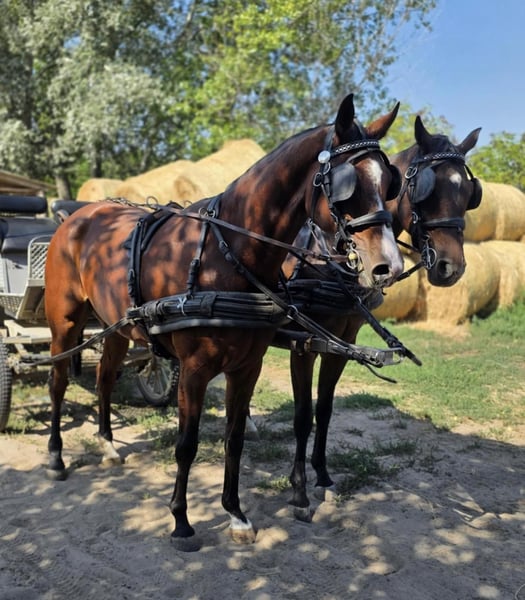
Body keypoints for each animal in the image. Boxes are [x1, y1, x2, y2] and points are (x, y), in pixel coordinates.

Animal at [44, 93, 404, 548]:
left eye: (389, 182)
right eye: (348, 185)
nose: (388, 266)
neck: (229, 253)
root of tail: (75, 217)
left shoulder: (248, 366)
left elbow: (235, 438)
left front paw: (235, 513)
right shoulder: (196, 369)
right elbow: (188, 443)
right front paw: (181, 520)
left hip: (118, 328)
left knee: (105, 377)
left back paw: (107, 445)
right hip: (64, 323)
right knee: (57, 383)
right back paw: (56, 456)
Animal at [285, 115, 481, 519]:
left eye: (469, 192)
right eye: (427, 189)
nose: (451, 268)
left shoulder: (341, 342)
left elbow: (324, 409)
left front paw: (322, 474)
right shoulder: (303, 343)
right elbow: (301, 416)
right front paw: (299, 490)